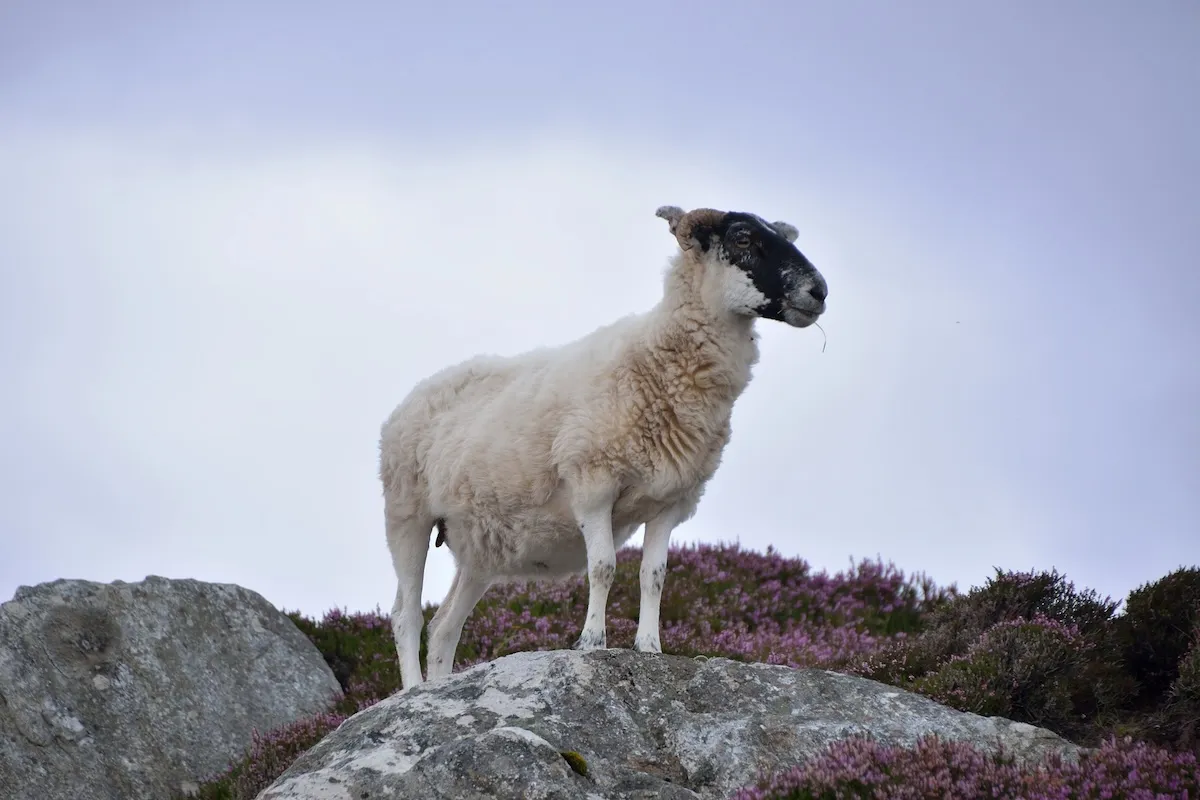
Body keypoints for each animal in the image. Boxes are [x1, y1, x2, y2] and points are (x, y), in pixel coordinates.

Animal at [378, 204, 829, 690]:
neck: (660, 362)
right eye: (743, 238)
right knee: (406, 616)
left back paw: (439, 688)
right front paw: (592, 642)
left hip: (480, 547)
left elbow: (654, 576)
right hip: (406, 513)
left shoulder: (671, 502)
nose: (819, 291)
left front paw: (650, 647)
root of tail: (412, 397)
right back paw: (412, 690)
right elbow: (604, 567)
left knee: (445, 627)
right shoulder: (594, 485)